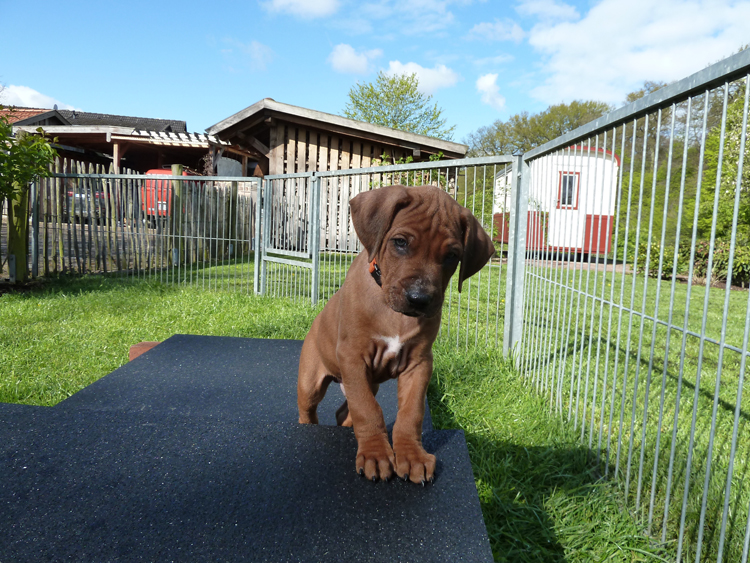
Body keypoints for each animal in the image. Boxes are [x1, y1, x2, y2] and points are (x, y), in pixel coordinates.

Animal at [297, 184, 495, 484]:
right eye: (400, 242)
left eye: (452, 255)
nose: (419, 299)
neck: (395, 314)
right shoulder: (353, 357)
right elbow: (368, 410)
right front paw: (376, 455)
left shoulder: (419, 363)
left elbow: (411, 413)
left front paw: (412, 456)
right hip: (313, 382)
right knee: (310, 410)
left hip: (368, 381)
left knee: (345, 411)